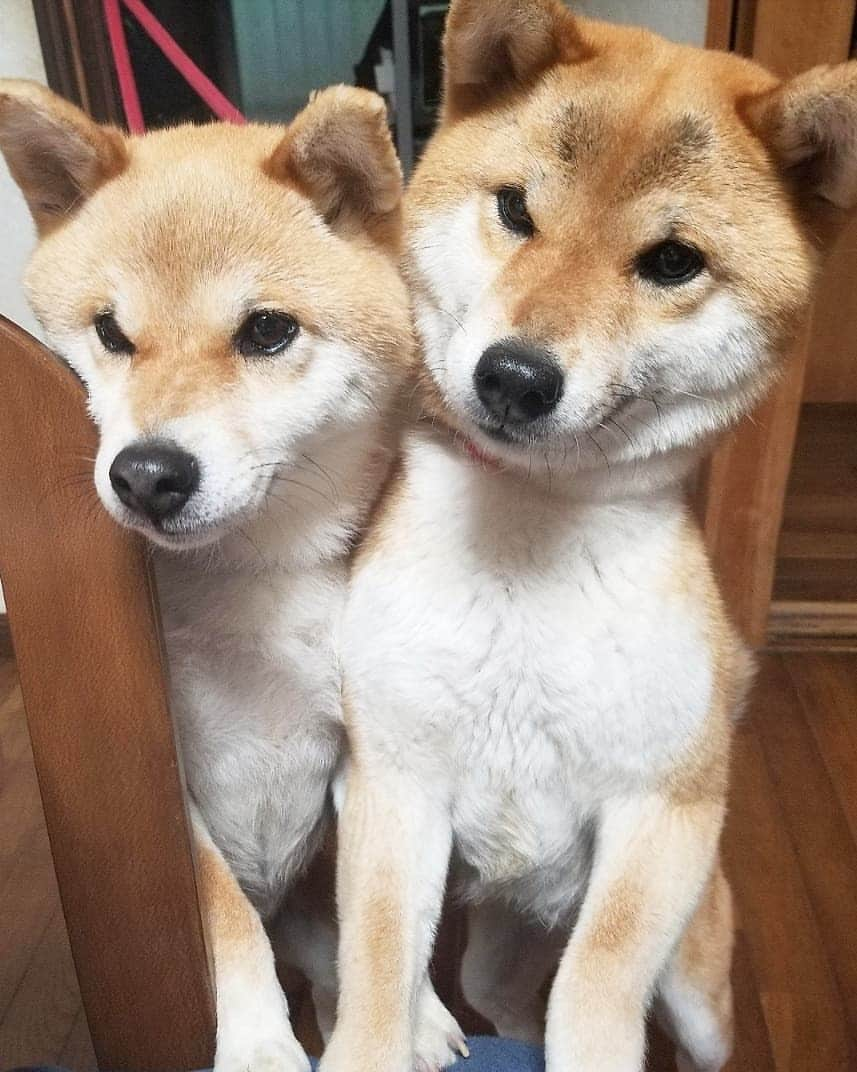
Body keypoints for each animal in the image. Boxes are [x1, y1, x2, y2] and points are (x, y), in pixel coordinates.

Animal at [0, 77, 433, 1072]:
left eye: (266, 330)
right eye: (110, 332)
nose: (146, 473)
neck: (249, 587)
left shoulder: (363, 752)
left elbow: (380, 909)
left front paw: (411, 1012)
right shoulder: (167, 790)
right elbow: (225, 920)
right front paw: (261, 1045)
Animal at [319, 2, 857, 1072]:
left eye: (672, 261)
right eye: (516, 210)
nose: (514, 376)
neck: (528, 539)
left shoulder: (665, 816)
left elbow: (597, 994)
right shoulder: (391, 784)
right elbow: (377, 974)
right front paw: (392, 1030)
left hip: (696, 983)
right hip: (495, 946)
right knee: (503, 1002)